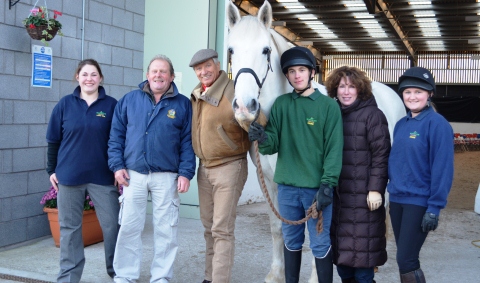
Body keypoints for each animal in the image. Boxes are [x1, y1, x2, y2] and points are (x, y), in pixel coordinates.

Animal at [227, 1, 406, 282]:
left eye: (266, 50)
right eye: (231, 50)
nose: (245, 107)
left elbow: (316, 234)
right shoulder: (269, 181)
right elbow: (278, 228)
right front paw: (276, 274)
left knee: (382, 205)